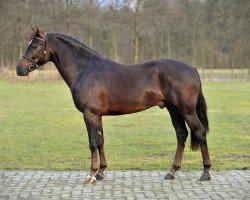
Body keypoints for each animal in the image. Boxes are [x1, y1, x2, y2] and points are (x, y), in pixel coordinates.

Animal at [16, 27, 211, 184]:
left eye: (35, 46)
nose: (20, 69)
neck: (85, 69)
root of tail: (191, 68)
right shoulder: (97, 115)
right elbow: (101, 141)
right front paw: (101, 172)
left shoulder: (90, 114)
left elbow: (93, 142)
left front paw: (91, 175)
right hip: (174, 110)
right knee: (181, 134)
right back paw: (172, 172)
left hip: (187, 111)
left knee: (200, 132)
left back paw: (206, 172)